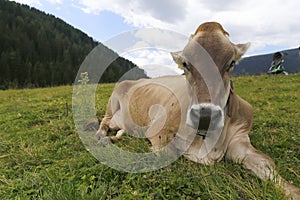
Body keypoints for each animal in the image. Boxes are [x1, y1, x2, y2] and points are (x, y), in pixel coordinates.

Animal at [95, 21, 300, 198]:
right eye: (186, 64)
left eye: (231, 63)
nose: (205, 115)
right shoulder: (158, 131)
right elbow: (167, 154)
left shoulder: (240, 138)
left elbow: (267, 164)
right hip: (113, 100)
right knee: (104, 122)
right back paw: (100, 137)